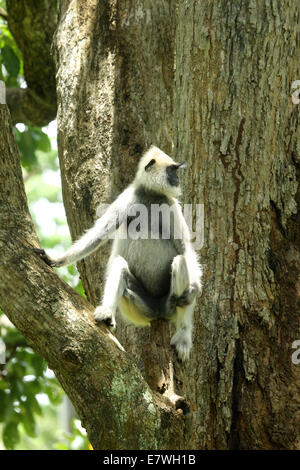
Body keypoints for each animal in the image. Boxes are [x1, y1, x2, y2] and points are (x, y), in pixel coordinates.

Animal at [36, 147, 203, 360]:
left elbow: (185, 250)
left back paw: (183, 334)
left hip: (170, 304)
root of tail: (158, 312)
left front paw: (195, 289)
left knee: (180, 262)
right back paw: (107, 314)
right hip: (138, 306)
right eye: (172, 170)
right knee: (119, 265)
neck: (150, 195)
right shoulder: (127, 198)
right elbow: (97, 236)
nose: (177, 179)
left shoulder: (170, 204)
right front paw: (55, 259)